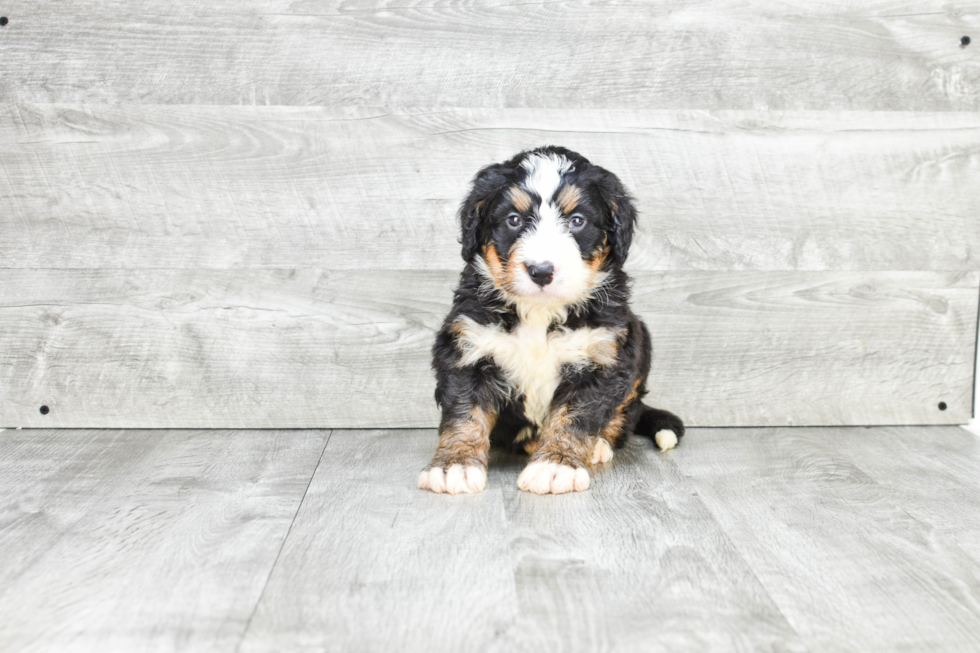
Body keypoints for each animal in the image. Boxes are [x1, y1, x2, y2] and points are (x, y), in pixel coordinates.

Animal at [418, 146, 684, 494]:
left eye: (577, 221)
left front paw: (556, 464)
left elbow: (576, 415)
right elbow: (464, 413)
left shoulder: (603, 355)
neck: (540, 313)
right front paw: (455, 465)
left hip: (640, 340)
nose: (541, 271)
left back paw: (599, 446)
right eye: (514, 220)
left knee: (625, 412)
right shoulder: (467, 347)